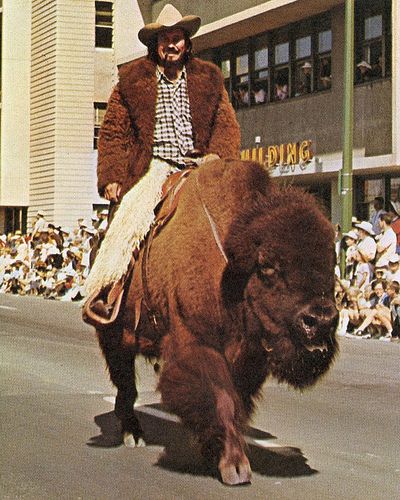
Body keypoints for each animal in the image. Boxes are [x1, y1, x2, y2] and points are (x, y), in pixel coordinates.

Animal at [94, 159, 338, 484]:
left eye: (332, 263)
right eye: (267, 266)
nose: (320, 320)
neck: (229, 270)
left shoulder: (249, 360)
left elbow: (236, 405)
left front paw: (216, 455)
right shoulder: (199, 344)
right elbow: (220, 399)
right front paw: (235, 467)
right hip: (115, 335)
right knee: (125, 384)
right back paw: (133, 434)